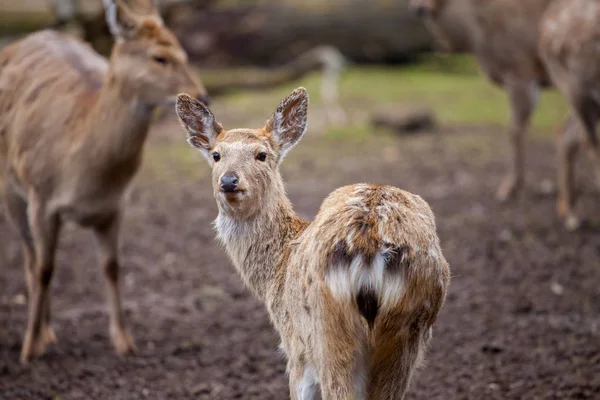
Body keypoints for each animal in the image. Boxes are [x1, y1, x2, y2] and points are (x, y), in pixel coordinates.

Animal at [0, 0, 209, 364]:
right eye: (159, 57)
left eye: (183, 52)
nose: (203, 95)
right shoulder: (41, 197)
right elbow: (43, 268)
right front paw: (29, 349)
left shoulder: (114, 206)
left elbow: (112, 266)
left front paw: (125, 343)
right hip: (9, 186)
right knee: (30, 256)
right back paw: (41, 333)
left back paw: (49, 330)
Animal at [176, 86, 448, 398]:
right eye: (216, 155)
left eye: (262, 155)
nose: (229, 181)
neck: (277, 271)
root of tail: (370, 245)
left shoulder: (294, 345)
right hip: (409, 326)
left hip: (325, 330)